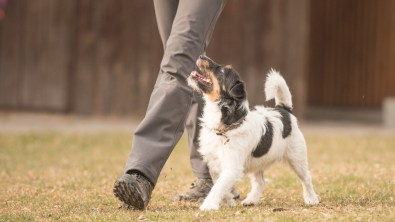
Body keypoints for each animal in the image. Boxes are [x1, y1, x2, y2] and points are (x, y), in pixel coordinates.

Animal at [187, 54, 320, 211]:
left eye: (223, 71)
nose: (202, 55)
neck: (226, 126)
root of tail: (284, 110)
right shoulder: (214, 163)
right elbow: (218, 183)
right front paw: (228, 201)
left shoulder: (232, 167)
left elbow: (218, 186)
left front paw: (208, 205)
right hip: (258, 162)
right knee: (260, 182)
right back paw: (251, 200)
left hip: (297, 158)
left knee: (306, 178)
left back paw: (311, 199)